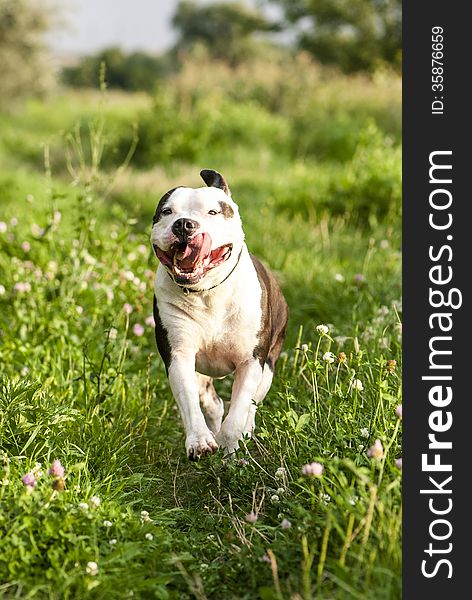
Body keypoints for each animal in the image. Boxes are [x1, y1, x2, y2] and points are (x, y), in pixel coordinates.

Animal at [150, 169, 288, 460]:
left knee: (251, 405)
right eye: (167, 211)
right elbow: (189, 401)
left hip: (269, 364)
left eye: (213, 212)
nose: (184, 224)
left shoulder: (251, 361)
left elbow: (239, 411)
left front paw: (229, 444)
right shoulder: (179, 355)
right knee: (212, 403)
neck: (207, 293)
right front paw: (201, 441)